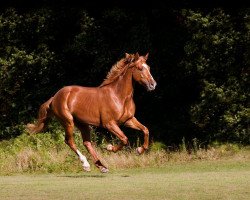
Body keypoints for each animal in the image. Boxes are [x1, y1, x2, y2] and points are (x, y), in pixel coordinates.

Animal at [26, 52, 156, 173]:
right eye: (140, 68)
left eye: (149, 67)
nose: (153, 84)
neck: (119, 96)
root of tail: (54, 97)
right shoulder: (109, 124)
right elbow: (124, 139)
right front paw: (109, 147)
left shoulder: (128, 120)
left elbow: (145, 130)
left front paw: (139, 150)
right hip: (68, 122)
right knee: (70, 141)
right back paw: (86, 164)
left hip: (83, 124)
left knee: (87, 143)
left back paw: (102, 166)